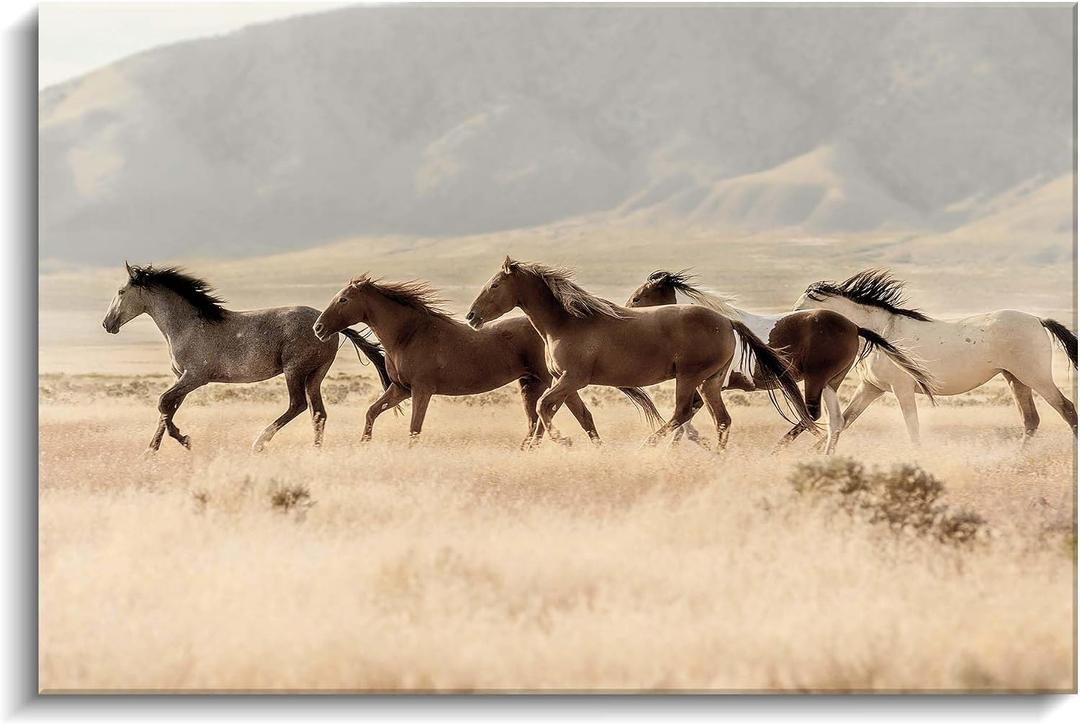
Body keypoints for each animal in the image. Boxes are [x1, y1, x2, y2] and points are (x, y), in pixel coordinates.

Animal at [102, 263, 390, 453]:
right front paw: (152, 449)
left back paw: (259, 442)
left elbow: (163, 403)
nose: (107, 324)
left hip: (294, 370)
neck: (187, 325)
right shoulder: (182, 378)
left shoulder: (195, 377)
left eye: (120, 292)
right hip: (315, 374)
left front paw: (184, 440)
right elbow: (167, 409)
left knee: (297, 405)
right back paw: (315, 450)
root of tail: (327, 326)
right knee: (318, 413)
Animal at [311, 275, 662, 447]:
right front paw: (364, 445)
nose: (318, 328)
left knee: (550, 419)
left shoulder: (421, 391)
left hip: (551, 382)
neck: (408, 334)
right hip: (547, 383)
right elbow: (371, 413)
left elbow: (414, 428)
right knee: (571, 417)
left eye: (343, 300)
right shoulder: (401, 389)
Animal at [465, 257, 817, 450]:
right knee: (721, 420)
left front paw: (562, 441)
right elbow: (581, 416)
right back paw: (716, 457)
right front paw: (596, 450)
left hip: (688, 377)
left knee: (681, 414)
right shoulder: (566, 382)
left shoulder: (572, 378)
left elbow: (542, 407)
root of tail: (727, 321)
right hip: (710, 382)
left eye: (494, 285)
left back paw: (648, 445)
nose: (471, 316)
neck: (567, 322)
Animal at [625, 270, 938, 454]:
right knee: (836, 421)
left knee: (812, 415)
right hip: (831, 383)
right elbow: (687, 422)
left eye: (638, 297)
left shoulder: (706, 384)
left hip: (816, 379)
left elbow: (687, 419)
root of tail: (854, 327)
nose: (625, 314)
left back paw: (780, 450)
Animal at [793, 268, 1078, 446]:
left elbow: (913, 429)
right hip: (1015, 379)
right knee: (1031, 421)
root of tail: (1038, 320)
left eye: (799, 310)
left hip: (1036, 377)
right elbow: (844, 420)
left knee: (1067, 409)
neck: (881, 333)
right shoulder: (871, 388)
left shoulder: (901, 389)